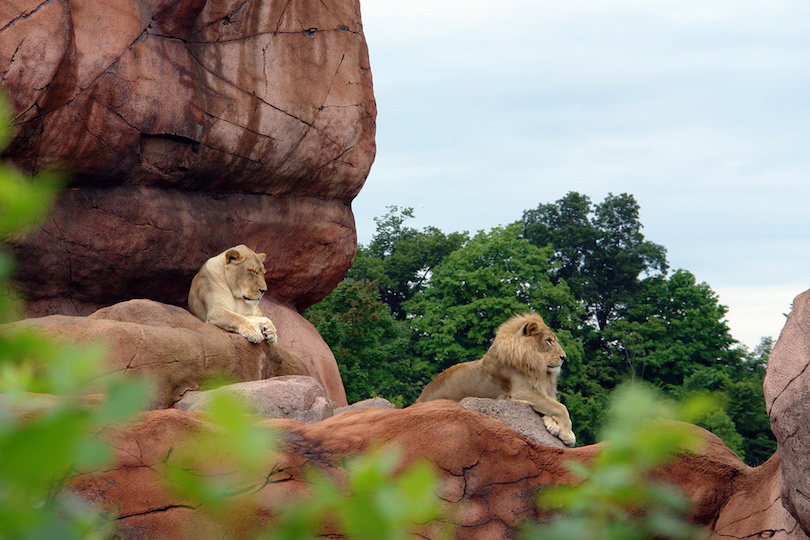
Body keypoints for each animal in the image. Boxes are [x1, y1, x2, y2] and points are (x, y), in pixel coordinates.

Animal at [416, 312, 576, 448]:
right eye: (549, 341)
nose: (564, 357)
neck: (539, 368)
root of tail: (419, 399)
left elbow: (553, 405)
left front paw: (553, 425)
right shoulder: (522, 391)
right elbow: (560, 407)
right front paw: (568, 435)